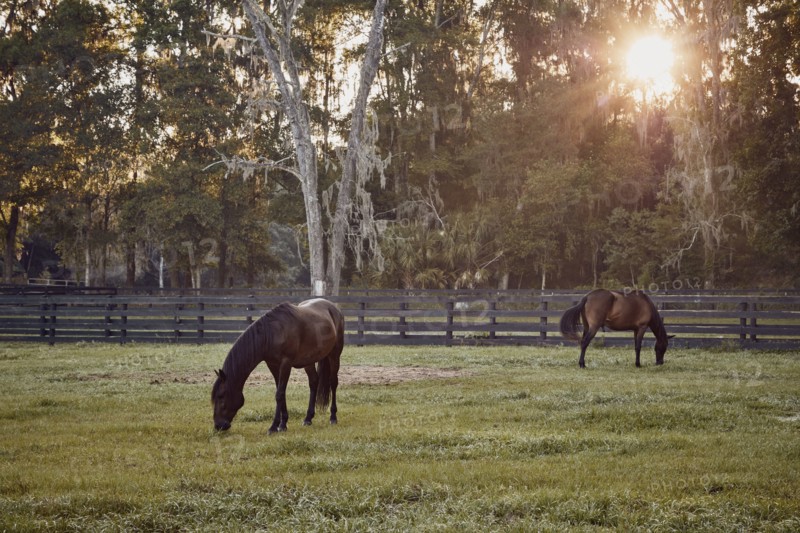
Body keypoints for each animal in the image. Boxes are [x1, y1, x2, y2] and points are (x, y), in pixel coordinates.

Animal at [211, 298, 344, 434]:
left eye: (221, 396)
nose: (218, 425)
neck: (272, 334)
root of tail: (334, 308)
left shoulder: (286, 364)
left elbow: (279, 394)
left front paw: (273, 426)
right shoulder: (273, 365)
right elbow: (281, 392)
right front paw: (283, 424)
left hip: (334, 355)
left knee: (333, 382)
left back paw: (333, 417)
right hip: (309, 361)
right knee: (313, 382)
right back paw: (308, 418)